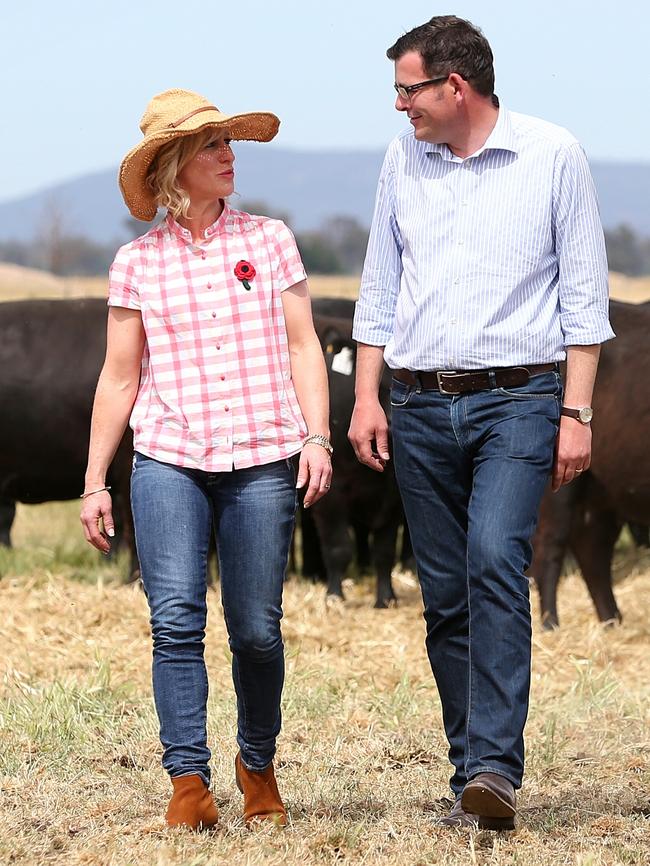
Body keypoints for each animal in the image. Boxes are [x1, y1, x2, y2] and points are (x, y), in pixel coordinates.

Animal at [528, 300, 648, 624]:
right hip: (561, 489)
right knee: (551, 548)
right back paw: (551, 624)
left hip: (602, 489)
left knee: (593, 551)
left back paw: (611, 621)